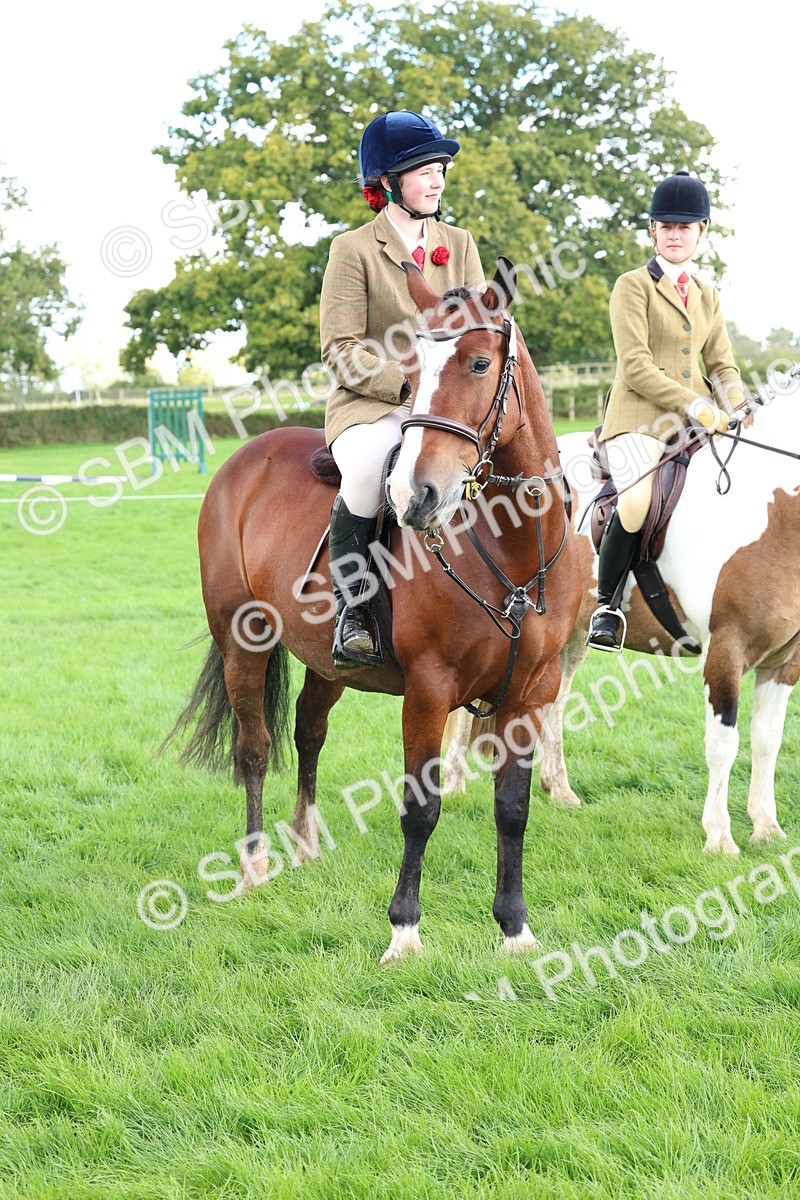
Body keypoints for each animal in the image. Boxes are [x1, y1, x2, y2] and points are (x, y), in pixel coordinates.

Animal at [164, 260, 582, 962]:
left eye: (478, 363)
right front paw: (404, 932)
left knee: (308, 730)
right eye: (411, 364)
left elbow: (512, 810)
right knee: (254, 747)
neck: (512, 546)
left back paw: (305, 843)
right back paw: (253, 865)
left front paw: (515, 929)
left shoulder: (530, 692)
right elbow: (421, 809)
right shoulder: (430, 692)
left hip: (327, 661)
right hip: (242, 641)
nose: (418, 496)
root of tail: (243, 459)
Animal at [442, 368, 800, 858]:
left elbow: (767, 741)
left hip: (570, 634)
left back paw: (559, 790)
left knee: (554, 703)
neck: (769, 508)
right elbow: (724, 743)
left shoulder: (784, 661)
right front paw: (720, 838)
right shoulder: (725, 649)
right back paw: (454, 784)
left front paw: (766, 827)